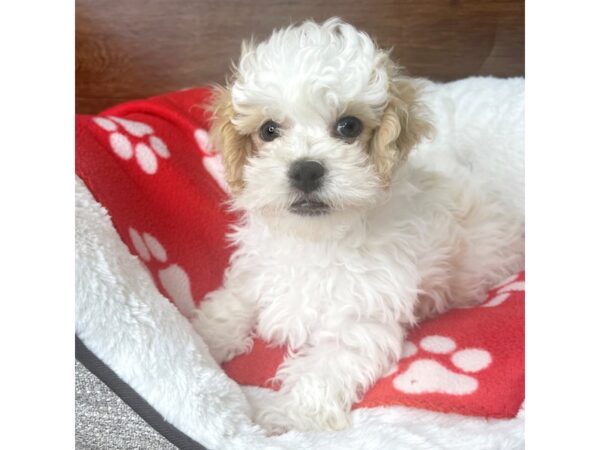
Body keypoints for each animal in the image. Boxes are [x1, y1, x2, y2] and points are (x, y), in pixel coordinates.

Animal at [191, 18, 520, 432]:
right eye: (268, 130)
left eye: (348, 126)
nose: (306, 169)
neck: (318, 238)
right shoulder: (258, 270)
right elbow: (233, 301)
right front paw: (199, 338)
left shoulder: (361, 318)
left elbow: (325, 368)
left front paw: (289, 414)